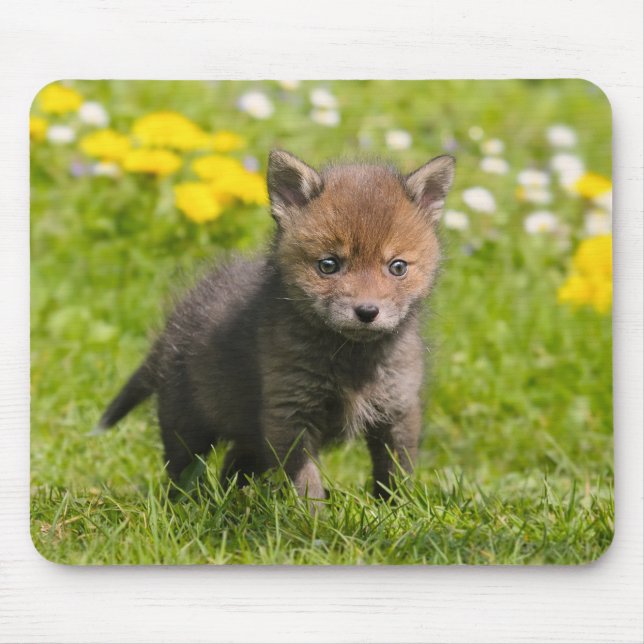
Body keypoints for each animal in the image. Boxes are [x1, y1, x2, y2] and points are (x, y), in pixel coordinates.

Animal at [95, 149, 455, 502]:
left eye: (398, 267)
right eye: (328, 265)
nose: (367, 311)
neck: (352, 361)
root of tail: (173, 324)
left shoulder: (398, 408)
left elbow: (395, 472)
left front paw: (396, 510)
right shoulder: (289, 412)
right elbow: (306, 482)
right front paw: (313, 518)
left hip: (248, 435)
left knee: (232, 466)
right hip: (187, 427)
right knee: (182, 473)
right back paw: (189, 505)